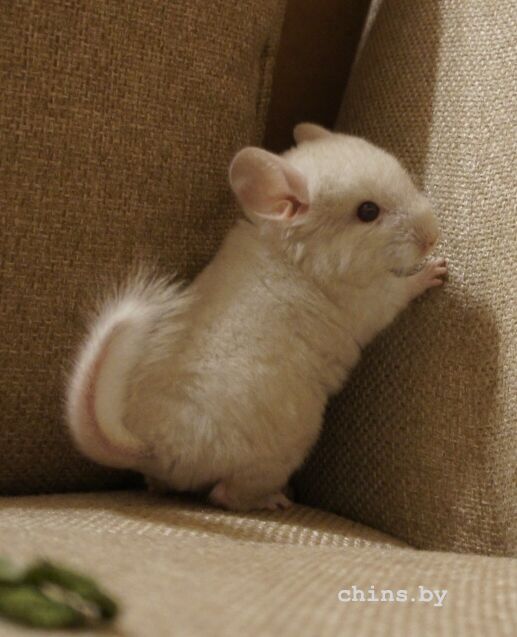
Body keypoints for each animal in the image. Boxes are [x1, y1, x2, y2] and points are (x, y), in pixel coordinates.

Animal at [66, 123, 447, 511]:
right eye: (367, 211)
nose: (433, 236)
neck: (292, 252)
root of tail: (154, 448)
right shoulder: (366, 301)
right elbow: (399, 291)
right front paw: (434, 272)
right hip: (287, 444)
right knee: (227, 496)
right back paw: (277, 500)